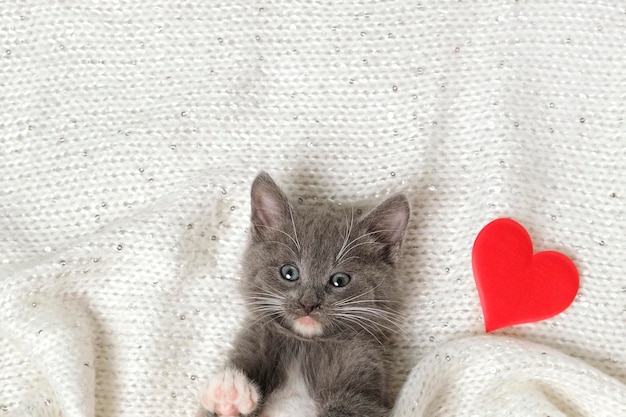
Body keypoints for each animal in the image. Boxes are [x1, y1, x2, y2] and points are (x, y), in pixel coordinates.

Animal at [196, 172, 410, 416]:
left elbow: (352, 406)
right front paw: (229, 395)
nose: (308, 304)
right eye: (289, 272)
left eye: (340, 280)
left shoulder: (366, 366)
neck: (304, 345)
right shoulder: (253, 339)